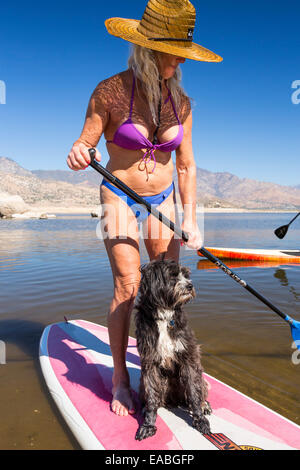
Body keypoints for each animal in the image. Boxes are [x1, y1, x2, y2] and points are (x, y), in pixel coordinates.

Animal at [134, 258, 211, 442]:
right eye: (173, 275)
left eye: (186, 275)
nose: (190, 285)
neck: (164, 315)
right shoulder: (150, 362)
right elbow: (152, 397)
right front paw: (148, 425)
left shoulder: (188, 357)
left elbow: (194, 391)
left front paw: (200, 420)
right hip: (142, 383)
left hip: (200, 376)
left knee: (200, 389)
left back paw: (204, 405)